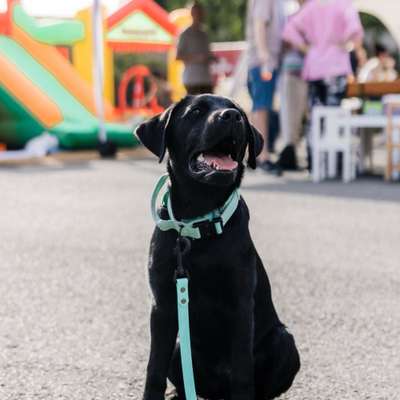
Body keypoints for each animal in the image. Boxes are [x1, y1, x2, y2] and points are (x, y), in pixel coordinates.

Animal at [136, 94, 298, 400]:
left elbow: (243, 372)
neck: (198, 223)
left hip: (285, 342)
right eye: (195, 112)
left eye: (239, 114)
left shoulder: (241, 304)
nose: (231, 116)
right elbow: (154, 369)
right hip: (179, 347)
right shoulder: (162, 306)